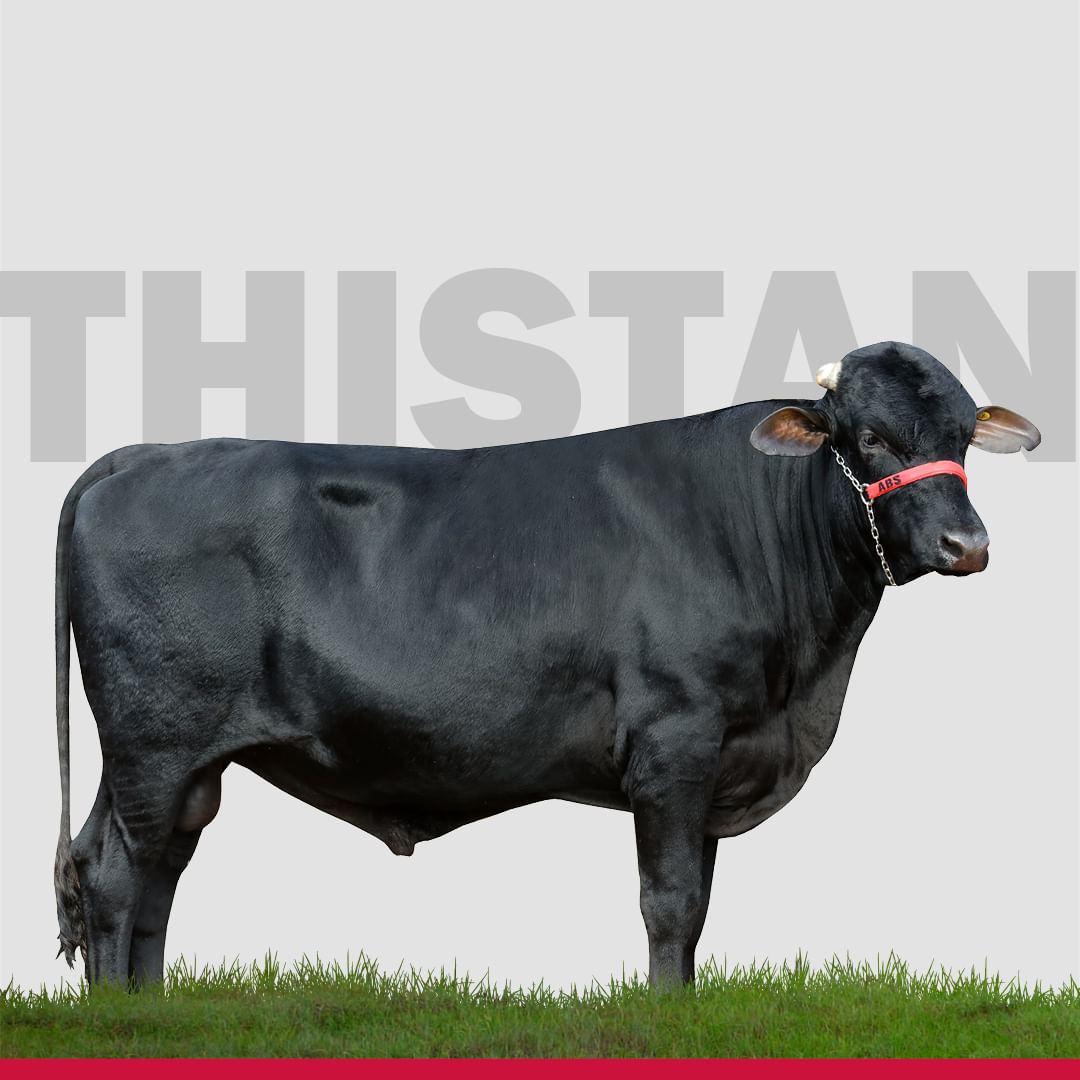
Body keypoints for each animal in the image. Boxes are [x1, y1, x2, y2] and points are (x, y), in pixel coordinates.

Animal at [53, 341, 1040, 989]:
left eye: (960, 433)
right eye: (869, 438)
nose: (967, 545)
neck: (806, 686)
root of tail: (142, 453)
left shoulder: (722, 753)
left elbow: (702, 906)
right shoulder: (675, 738)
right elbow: (670, 901)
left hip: (176, 761)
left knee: (152, 872)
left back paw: (157, 1011)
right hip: (154, 740)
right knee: (115, 873)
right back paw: (124, 1023)